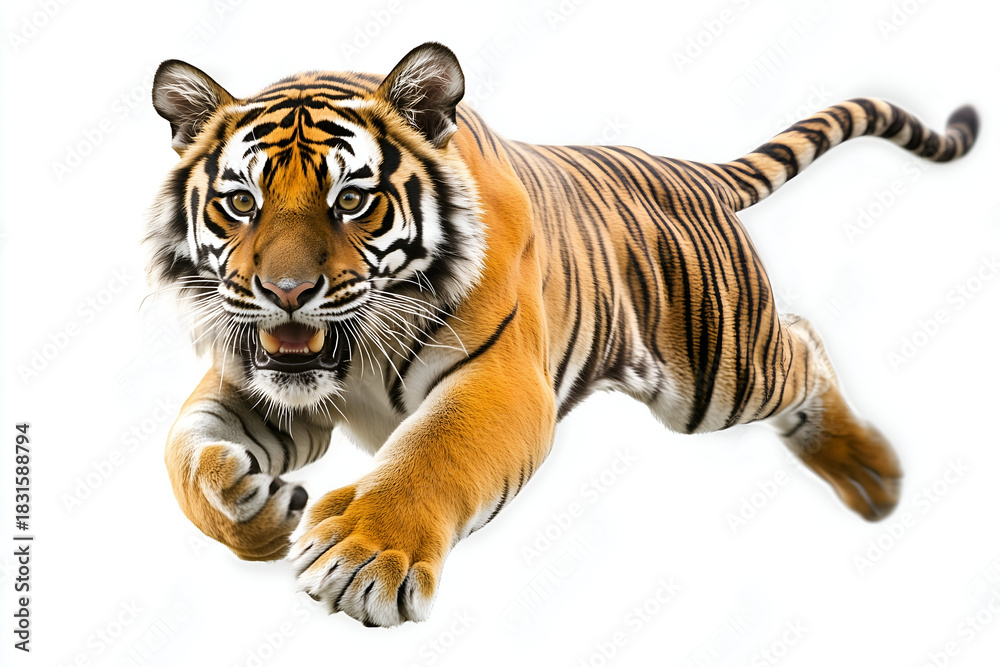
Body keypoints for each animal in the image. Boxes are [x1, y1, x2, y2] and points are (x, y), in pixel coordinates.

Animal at [146, 41, 978, 627]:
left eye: (352, 200)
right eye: (241, 202)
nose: (286, 293)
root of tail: (686, 170)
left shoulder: (500, 377)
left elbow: (431, 453)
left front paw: (366, 555)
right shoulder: (251, 377)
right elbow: (183, 455)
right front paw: (248, 510)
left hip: (720, 374)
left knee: (803, 346)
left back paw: (872, 474)